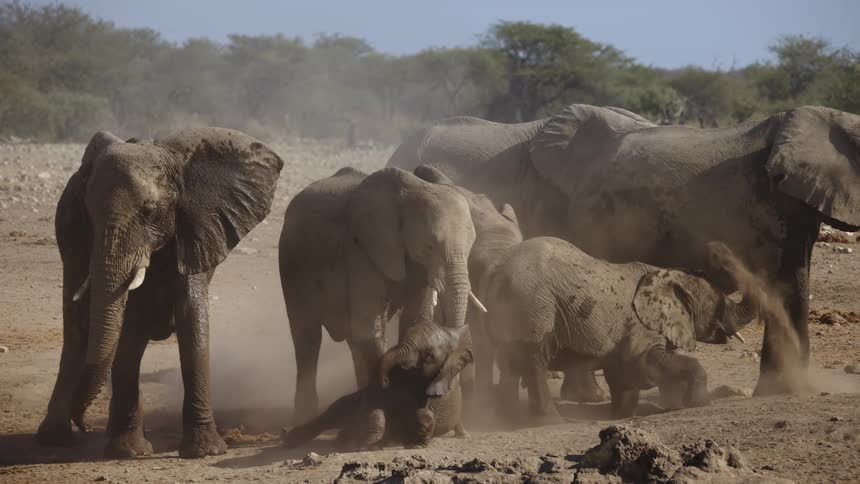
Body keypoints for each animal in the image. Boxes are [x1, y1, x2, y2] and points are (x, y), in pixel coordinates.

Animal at [37, 128, 284, 458]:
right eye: (89, 213)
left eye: (149, 212)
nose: (85, 424)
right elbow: (127, 330)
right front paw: (129, 452)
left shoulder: (195, 227)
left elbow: (192, 317)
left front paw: (205, 451)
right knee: (77, 330)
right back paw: (55, 438)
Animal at [279, 166, 484, 424]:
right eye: (429, 245)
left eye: (471, 246)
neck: (415, 189)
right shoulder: (360, 249)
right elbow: (370, 328)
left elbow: (412, 323)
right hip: (291, 262)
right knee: (307, 338)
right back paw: (305, 418)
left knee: (350, 340)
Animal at [281, 321, 472, 450]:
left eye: (429, 356)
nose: (385, 381)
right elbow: (375, 407)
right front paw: (363, 443)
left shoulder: (440, 389)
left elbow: (424, 414)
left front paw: (413, 445)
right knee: (333, 411)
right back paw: (291, 439)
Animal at [481, 237, 757, 419]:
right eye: (719, 304)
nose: (714, 248)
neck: (667, 276)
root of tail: (496, 271)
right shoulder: (641, 327)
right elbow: (645, 363)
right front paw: (699, 404)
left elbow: (622, 372)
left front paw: (622, 415)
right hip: (534, 306)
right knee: (534, 360)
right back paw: (550, 422)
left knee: (510, 363)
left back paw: (507, 420)